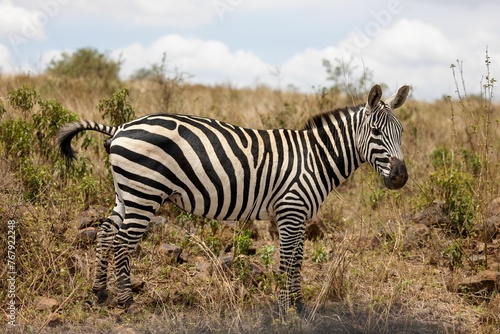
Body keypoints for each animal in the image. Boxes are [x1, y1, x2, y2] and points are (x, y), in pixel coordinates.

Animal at [56, 83, 410, 318]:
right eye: (376, 132)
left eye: (402, 132)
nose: (401, 177)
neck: (315, 158)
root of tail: (120, 128)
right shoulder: (291, 211)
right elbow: (287, 261)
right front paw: (284, 310)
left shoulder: (300, 215)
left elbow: (298, 260)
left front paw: (298, 305)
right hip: (145, 192)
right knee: (122, 242)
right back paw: (126, 301)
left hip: (127, 192)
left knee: (105, 233)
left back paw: (100, 292)